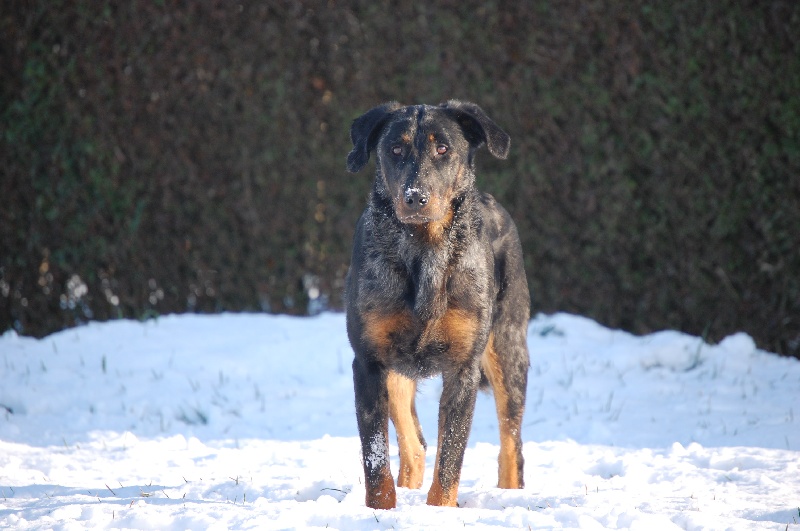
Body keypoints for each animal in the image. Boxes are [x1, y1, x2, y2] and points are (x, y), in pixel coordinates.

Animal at [344, 101, 532, 512]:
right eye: (395, 149)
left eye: (443, 148)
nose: (416, 195)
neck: (424, 249)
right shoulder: (369, 361)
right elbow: (375, 456)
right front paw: (381, 511)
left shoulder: (463, 366)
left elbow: (451, 456)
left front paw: (440, 511)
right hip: (396, 370)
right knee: (413, 445)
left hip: (508, 348)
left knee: (511, 443)